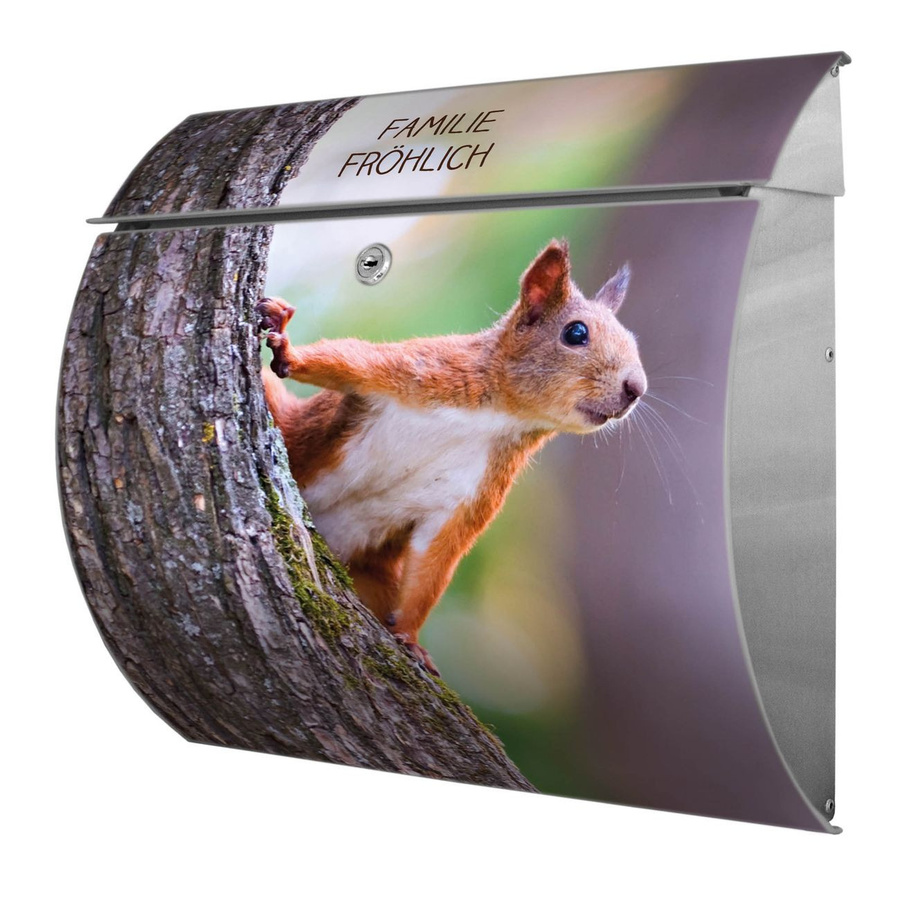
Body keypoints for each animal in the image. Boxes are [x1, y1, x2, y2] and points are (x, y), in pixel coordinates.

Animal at [257, 239, 646, 675]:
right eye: (576, 333)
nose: (636, 388)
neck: (499, 415)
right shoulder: (421, 370)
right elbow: (346, 360)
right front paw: (288, 349)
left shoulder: (475, 490)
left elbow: (436, 558)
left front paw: (410, 637)